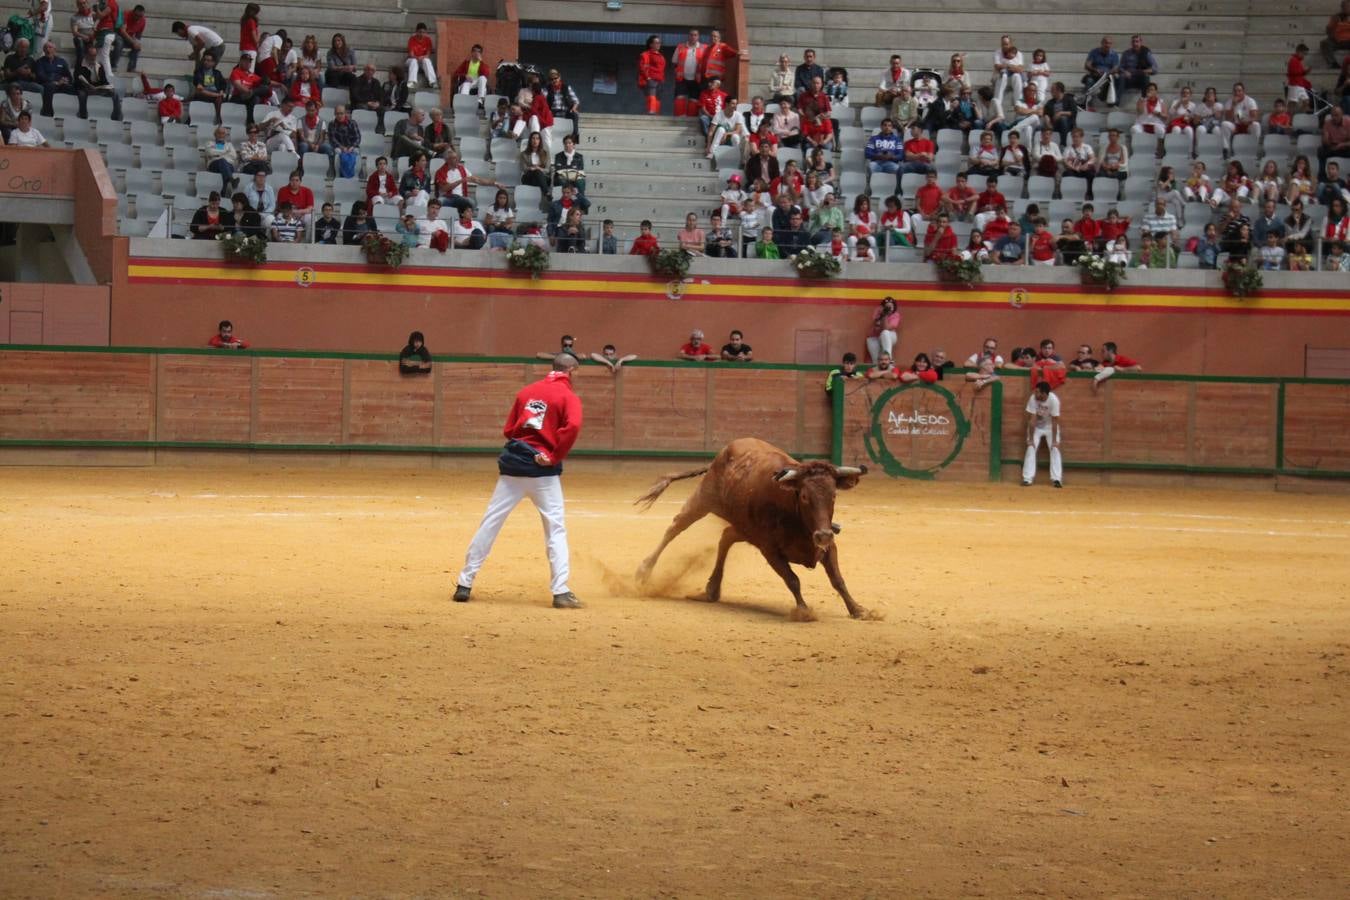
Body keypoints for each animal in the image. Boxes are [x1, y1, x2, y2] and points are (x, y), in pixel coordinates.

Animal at [629, 437, 864, 620]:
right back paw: (644, 571)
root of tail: (723, 453)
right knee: (675, 528)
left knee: (725, 537)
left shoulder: (828, 547)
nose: (823, 535)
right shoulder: (770, 550)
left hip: (743, 526)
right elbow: (793, 580)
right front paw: (804, 611)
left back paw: (712, 588)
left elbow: (838, 580)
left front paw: (857, 609)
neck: (793, 510)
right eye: (805, 496)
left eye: (834, 495)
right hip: (703, 499)